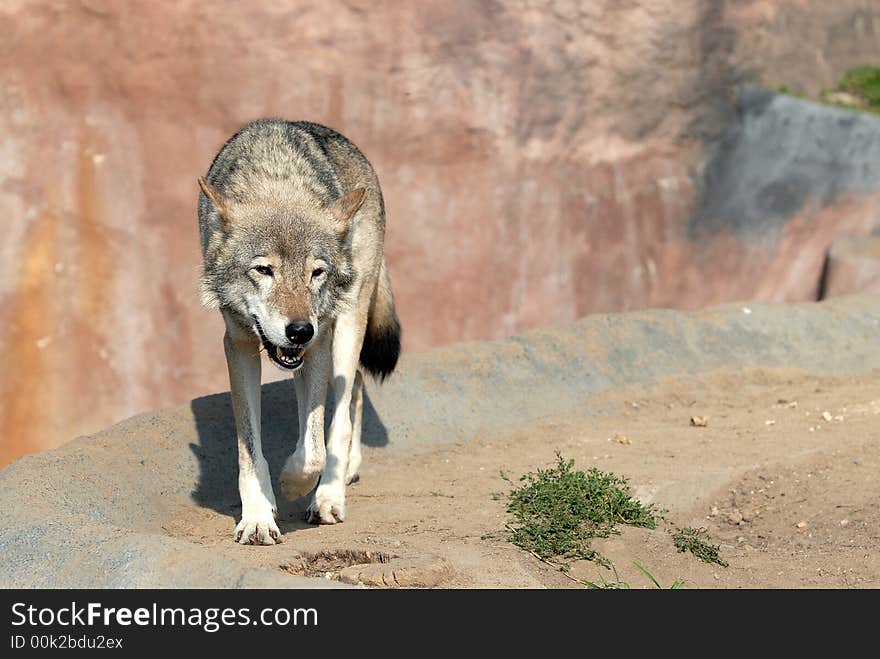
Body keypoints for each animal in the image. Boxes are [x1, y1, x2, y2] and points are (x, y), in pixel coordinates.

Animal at [198, 118, 400, 548]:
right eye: (264, 270)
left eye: (316, 272)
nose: (299, 330)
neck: (278, 183)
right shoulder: (238, 344)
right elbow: (249, 449)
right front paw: (259, 517)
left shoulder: (320, 342)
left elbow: (314, 448)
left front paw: (294, 485)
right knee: (356, 385)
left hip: (346, 325)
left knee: (342, 410)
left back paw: (330, 494)